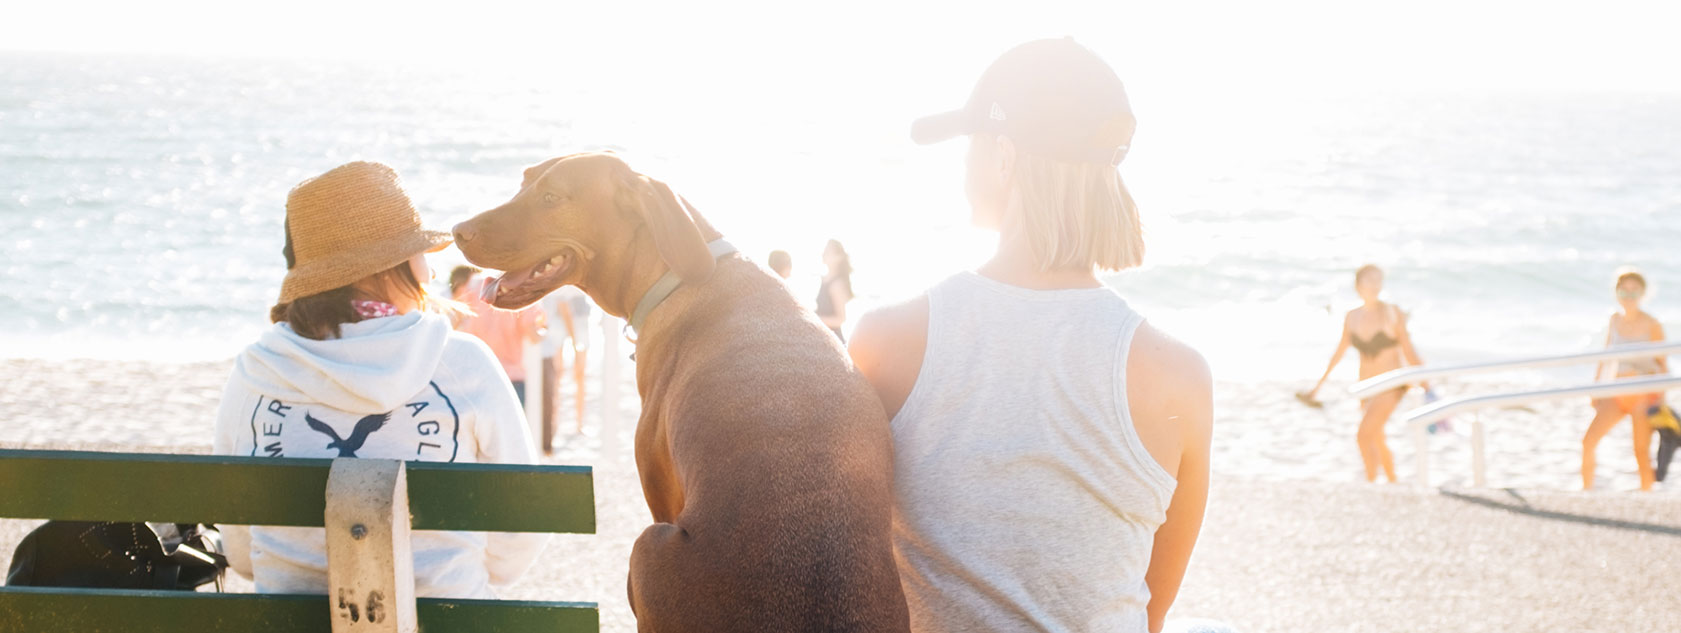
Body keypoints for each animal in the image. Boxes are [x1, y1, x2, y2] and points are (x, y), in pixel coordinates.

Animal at [453, 154, 914, 631]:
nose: (457, 230)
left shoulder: (660, 493)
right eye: (523, 184)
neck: (678, 273)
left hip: (646, 548)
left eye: (551, 197)